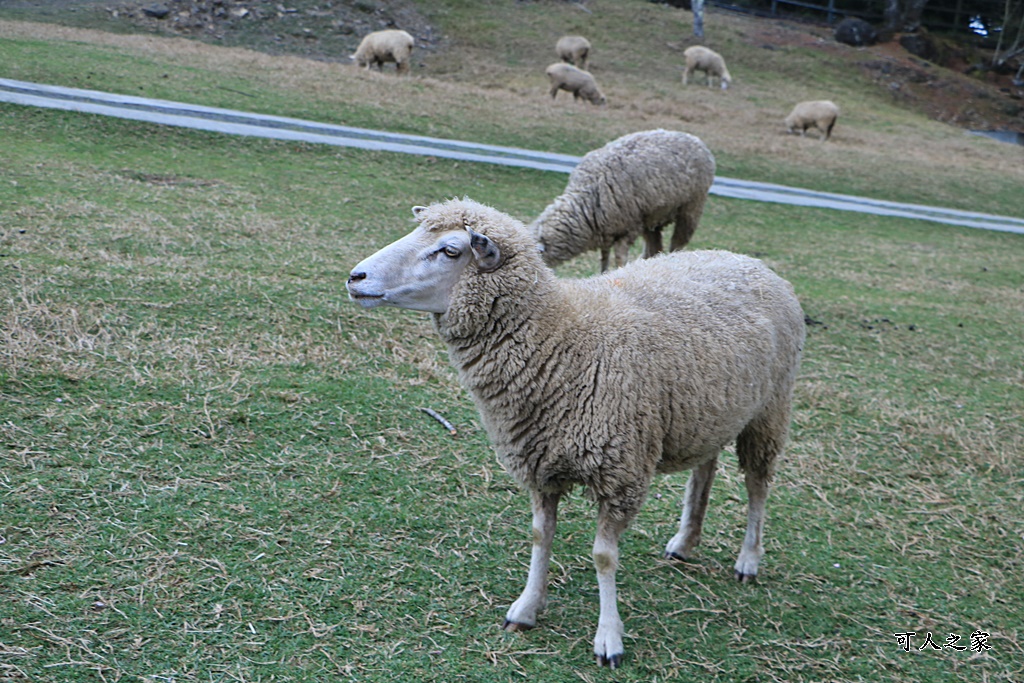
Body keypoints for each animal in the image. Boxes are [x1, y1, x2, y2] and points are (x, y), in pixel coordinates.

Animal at [348, 196, 802, 667]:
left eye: (451, 250)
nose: (355, 277)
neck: (563, 338)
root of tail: (747, 260)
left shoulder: (620, 472)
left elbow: (604, 557)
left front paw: (609, 638)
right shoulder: (539, 462)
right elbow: (539, 536)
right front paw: (526, 608)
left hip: (769, 408)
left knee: (758, 484)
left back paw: (748, 560)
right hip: (709, 411)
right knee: (705, 468)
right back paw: (685, 540)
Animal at [532, 130, 716, 272]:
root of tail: (694, 139)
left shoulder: (627, 229)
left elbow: (620, 258)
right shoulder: (604, 230)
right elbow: (604, 258)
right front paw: (603, 274)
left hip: (691, 207)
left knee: (678, 242)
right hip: (651, 217)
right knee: (654, 247)